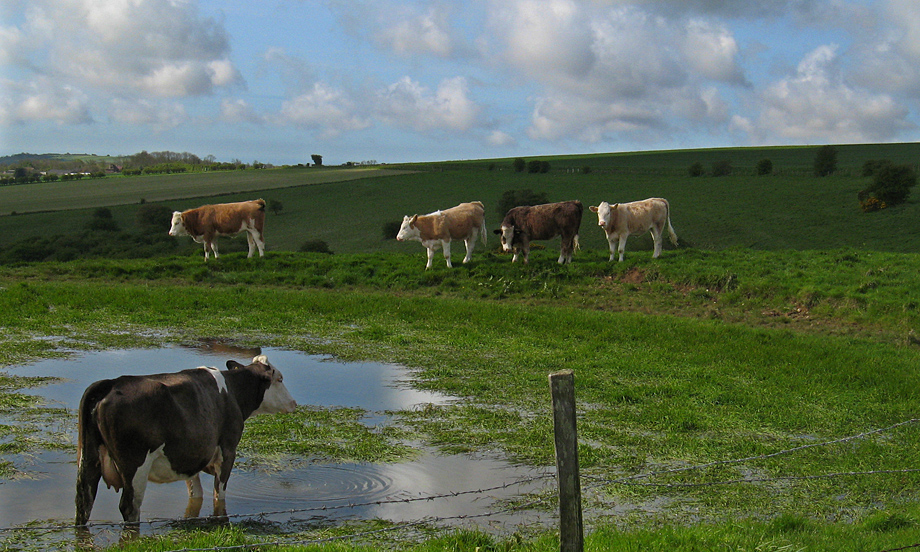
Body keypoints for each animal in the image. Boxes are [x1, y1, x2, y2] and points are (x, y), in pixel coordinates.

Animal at [77, 356, 298, 524]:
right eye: (279, 379)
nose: (294, 403)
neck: (232, 391)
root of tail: (112, 383)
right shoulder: (227, 451)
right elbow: (219, 495)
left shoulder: (191, 456)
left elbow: (195, 493)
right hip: (135, 465)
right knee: (129, 507)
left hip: (88, 460)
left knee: (84, 502)